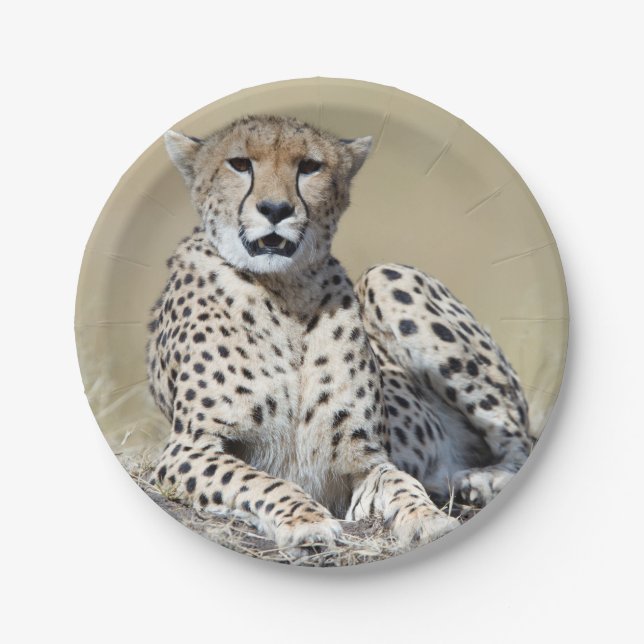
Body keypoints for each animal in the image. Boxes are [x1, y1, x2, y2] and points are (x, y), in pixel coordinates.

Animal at [146, 114, 533, 555]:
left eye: (310, 167)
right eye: (240, 164)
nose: (275, 209)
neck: (285, 292)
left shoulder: (366, 462)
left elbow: (400, 480)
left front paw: (426, 517)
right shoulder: (187, 448)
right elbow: (254, 479)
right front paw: (306, 520)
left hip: (387, 276)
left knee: (519, 439)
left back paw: (484, 479)